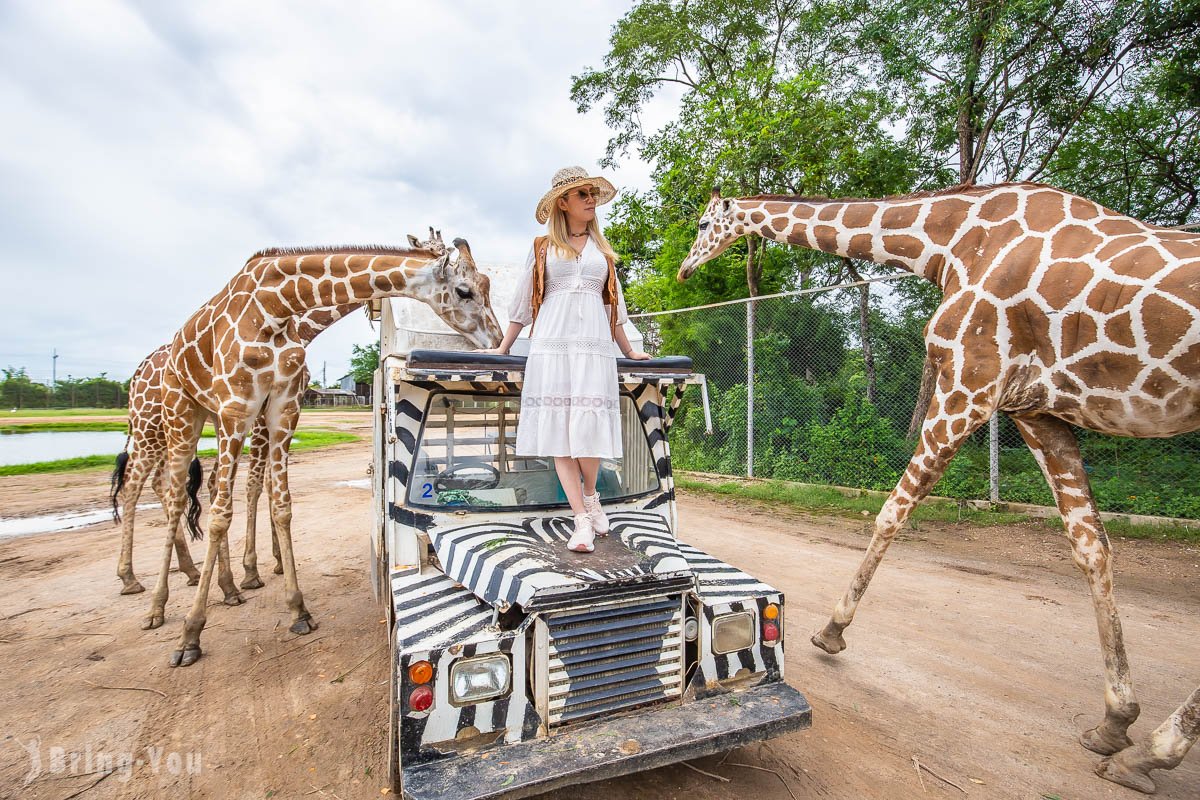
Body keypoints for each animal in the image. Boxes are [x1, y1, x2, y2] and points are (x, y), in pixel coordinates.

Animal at [154, 241, 501, 666]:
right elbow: (220, 517)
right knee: (176, 499)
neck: (277, 305)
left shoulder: (282, 407)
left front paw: (297, 610)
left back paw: (233, 586)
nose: (497, 339)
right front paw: (190, 634)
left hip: (219, 419)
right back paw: (158, 606)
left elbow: (282, 507)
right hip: (184, 412)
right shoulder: (238, 405)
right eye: (465, 291)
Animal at [681, 184, 1200, 791]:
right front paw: (1115, 720)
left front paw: (831, 631)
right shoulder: (1036, 410)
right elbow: (1092, 546)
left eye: (703, 223)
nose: (686, 267)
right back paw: (1143, 750)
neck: (950, 243)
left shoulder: (970, 383)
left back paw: (1153, 753)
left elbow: (893, 509)